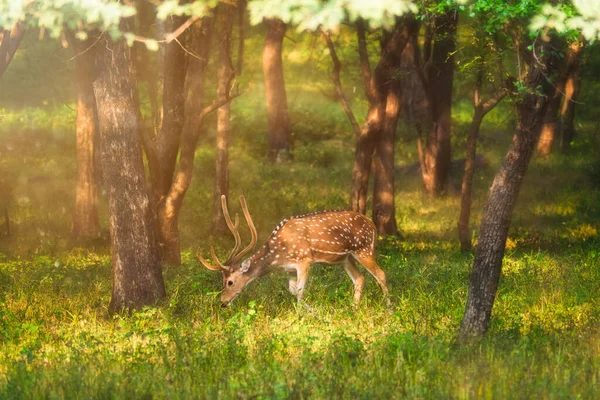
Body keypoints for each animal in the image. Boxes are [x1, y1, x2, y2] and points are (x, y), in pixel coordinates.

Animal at [199, 195, 392, 308]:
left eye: (230, 282)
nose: (223, 301)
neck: (277, 256)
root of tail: (373, 226)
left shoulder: (303, 260)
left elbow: (299, 293)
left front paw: (305, 314)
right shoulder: (289, 269)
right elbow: (293, 290)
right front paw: (312, 309)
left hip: (364, 249)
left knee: (381, 274)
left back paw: (389, 309)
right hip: (345, 258)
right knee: (360, 278)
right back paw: (354, 308)